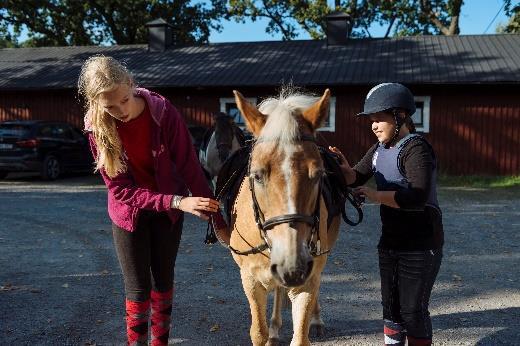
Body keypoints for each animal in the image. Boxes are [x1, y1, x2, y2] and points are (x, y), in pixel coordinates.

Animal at [230, 89, 340, 346]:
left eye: (318, 174)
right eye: (257, 175)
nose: (292, 266)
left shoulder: (307, 279)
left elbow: (300, 336)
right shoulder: (250, 279)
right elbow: (258, 332)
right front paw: (268, 331)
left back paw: (316, 320)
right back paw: (274, 328)